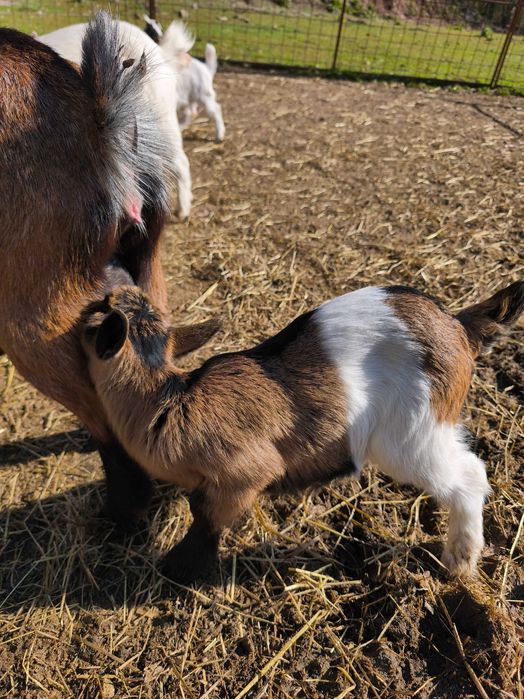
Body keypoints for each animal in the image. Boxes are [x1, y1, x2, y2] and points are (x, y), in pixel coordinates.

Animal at [82, 281, 524, 584]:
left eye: (100, 312)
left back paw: (459, 562)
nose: (101, 295)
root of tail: (458, 325)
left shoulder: (246, 471)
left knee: (470, 476)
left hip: (411, 434)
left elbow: (206, 515)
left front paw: (180, 569)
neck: (171, 400)